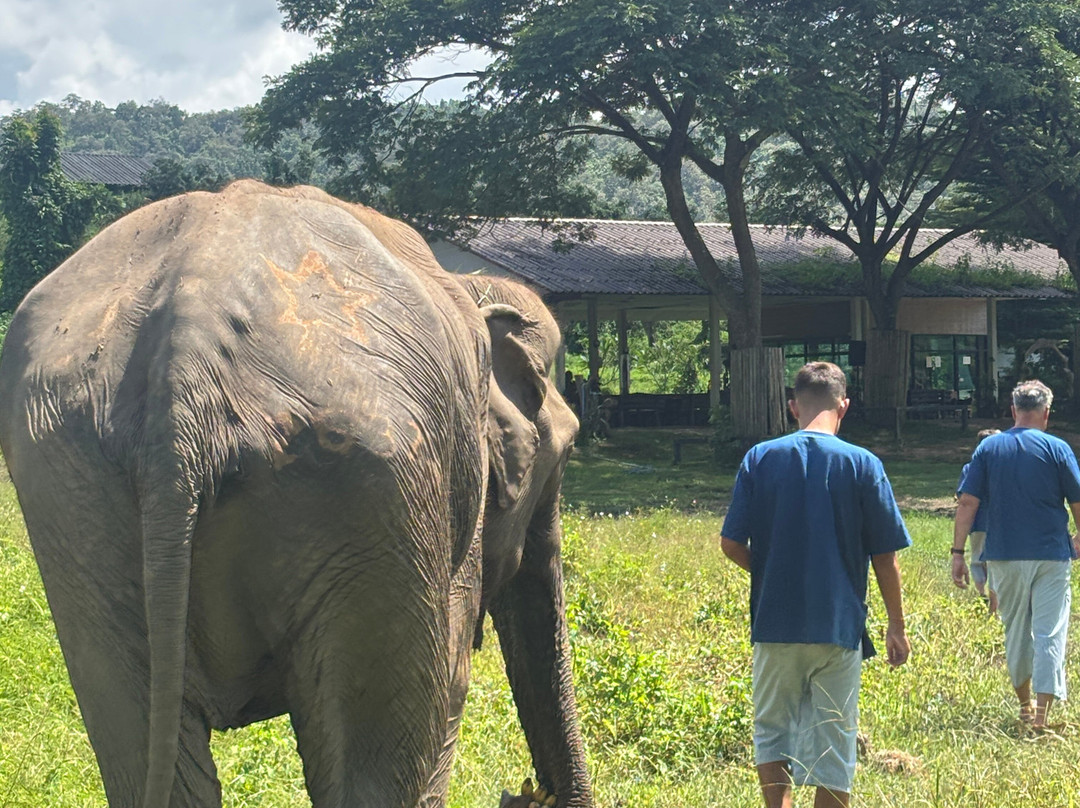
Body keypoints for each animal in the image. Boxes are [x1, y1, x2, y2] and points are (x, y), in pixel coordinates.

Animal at [0, 180, 592, 808]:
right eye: (565, 452)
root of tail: (185, 367)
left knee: (138, 739)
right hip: (375, 495)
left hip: (70, 481)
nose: (524, 793)